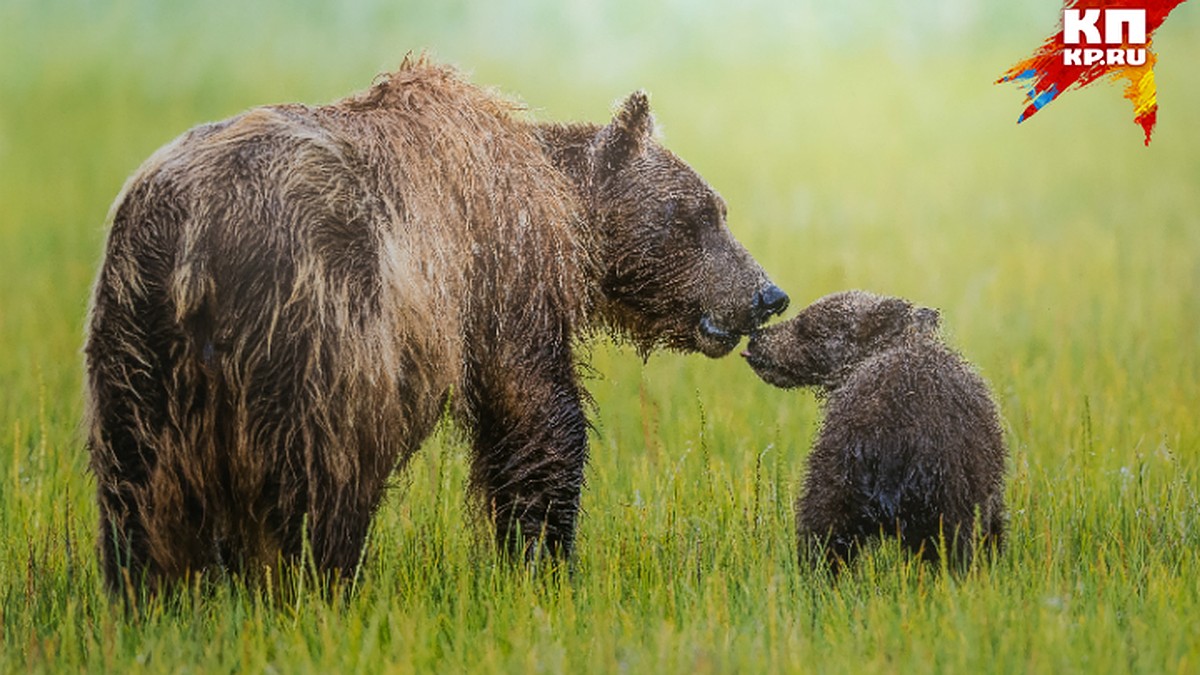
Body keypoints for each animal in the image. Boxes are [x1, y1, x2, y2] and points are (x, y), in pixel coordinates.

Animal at [87, 59, 787, 593]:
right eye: (700, 214)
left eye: (717, 209)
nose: (768, 294)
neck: (562, 205)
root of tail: (199, 237)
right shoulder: (500, 265)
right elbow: (535, 413)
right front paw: (544, 559)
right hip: (316, 325)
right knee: (321, 473)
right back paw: (319, 583)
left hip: (136, 328)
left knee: (136, 482)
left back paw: (150, 588)